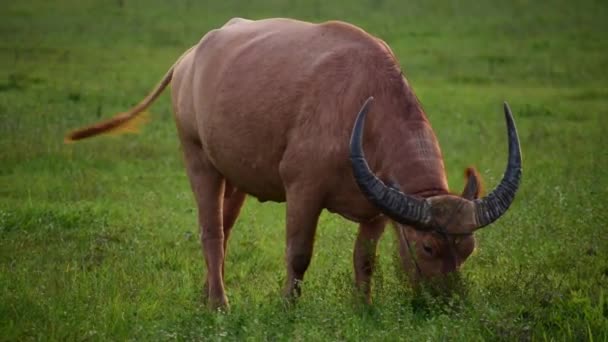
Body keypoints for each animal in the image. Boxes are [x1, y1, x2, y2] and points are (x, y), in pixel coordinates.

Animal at [67, 17, 524, 308]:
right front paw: (288, 306)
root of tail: (189, 58)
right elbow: (299, 253)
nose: (449, 304)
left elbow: (365, 259)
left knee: (225, 228)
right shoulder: (303, 191)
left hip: (235, 176)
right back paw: (219, 304)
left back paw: (205, 293)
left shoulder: (377, 210)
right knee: (210, 231)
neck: (359, 104)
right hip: (197, 158)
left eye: (468, 248)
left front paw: (364, 308)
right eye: (428, 246)